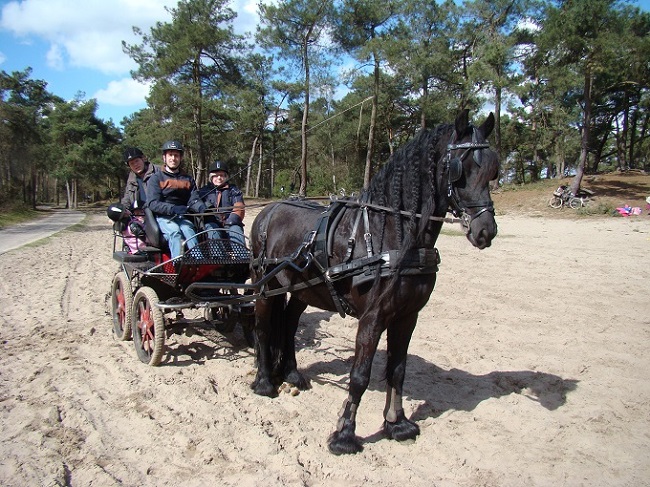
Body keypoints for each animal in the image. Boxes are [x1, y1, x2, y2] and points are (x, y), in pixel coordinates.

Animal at [248, 109, 496, 454]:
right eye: (461, 169)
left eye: (492, 170)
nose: (486, 231)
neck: (389, 231)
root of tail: (269, 209)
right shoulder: (372, 317)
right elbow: (360, 376)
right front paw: (344, 434)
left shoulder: (407, 316)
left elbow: (398, 370)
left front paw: (397, 423)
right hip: (265, 285)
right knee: (262, 326)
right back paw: (264, 381)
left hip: (302, 290)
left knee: (287, 324)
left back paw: (293, 374)